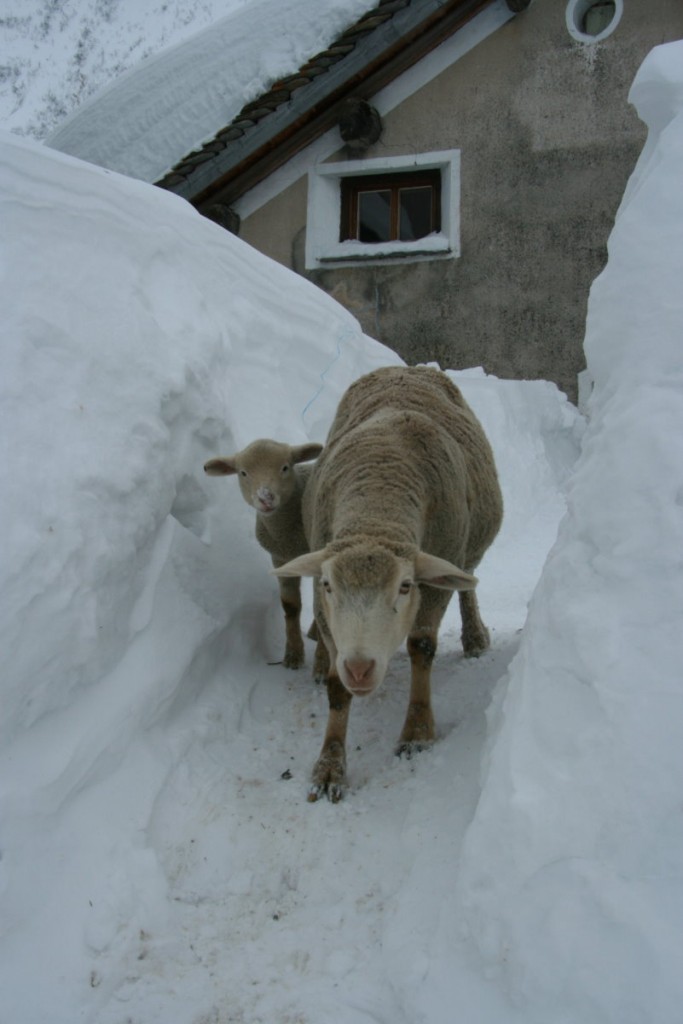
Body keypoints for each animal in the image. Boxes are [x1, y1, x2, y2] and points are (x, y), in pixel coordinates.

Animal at [204, 438, 325, 671]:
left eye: (285, 467)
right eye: (243, 473)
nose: (265, 498)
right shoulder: (280, 558)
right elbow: (291, 606)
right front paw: (293, 654)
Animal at [272, 364, 501, 802]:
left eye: (405, 586)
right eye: (328, 586)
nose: (361, 668)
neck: (380, 496)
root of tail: (408, 367)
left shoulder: (435, 582)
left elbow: (422, 647)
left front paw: (418, 732)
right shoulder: (326, 605)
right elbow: (336, 688)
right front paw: (330, 765)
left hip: (467, 550)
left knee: (469, 584)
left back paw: (475, 638)